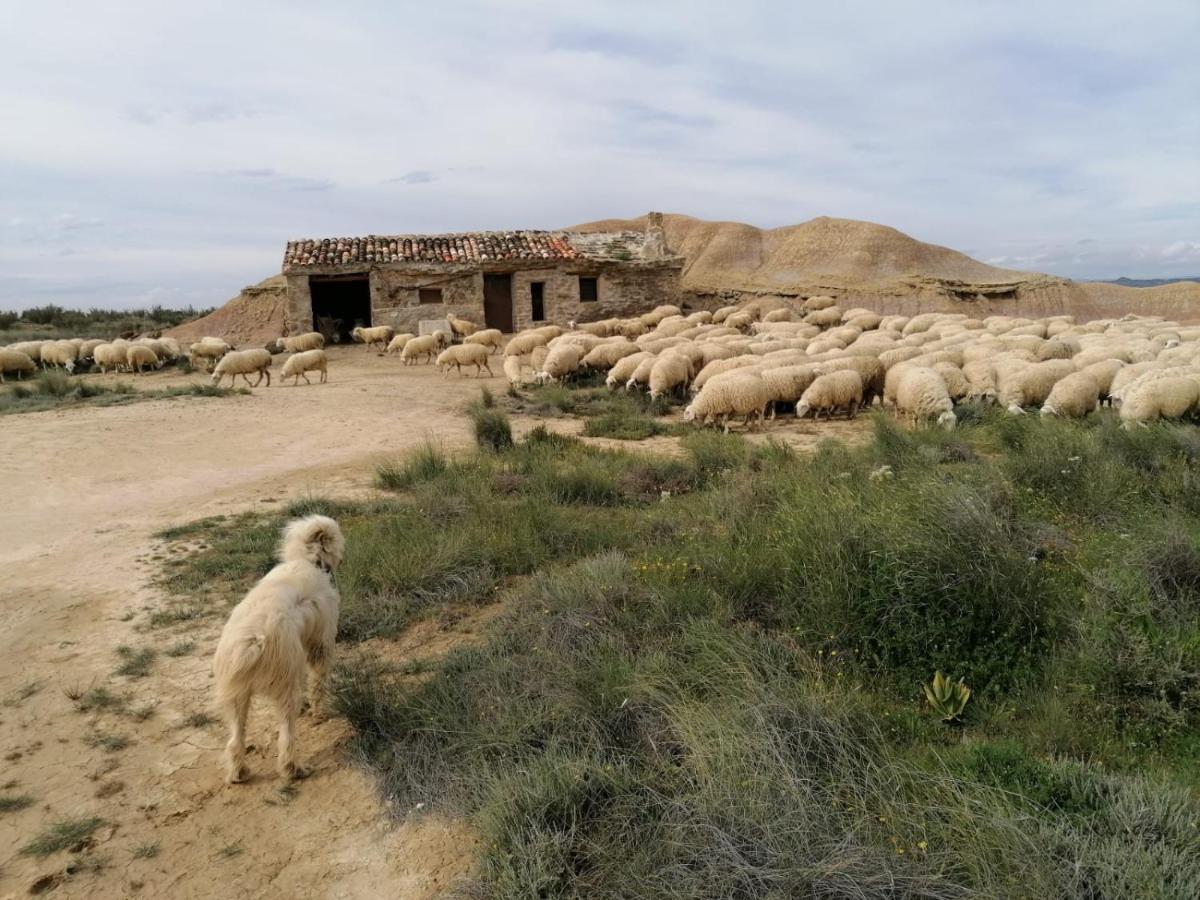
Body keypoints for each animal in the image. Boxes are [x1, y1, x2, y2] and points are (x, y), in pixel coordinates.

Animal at [208, 518, 343, 787]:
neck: (308, 561)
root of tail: (251, 643)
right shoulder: (322, 645)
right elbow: (318, 685)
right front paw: (320, 712)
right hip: (286, 685)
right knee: (287, 736)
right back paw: (294, 769)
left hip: (237, 697)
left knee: (235, 740)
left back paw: (239, 773)